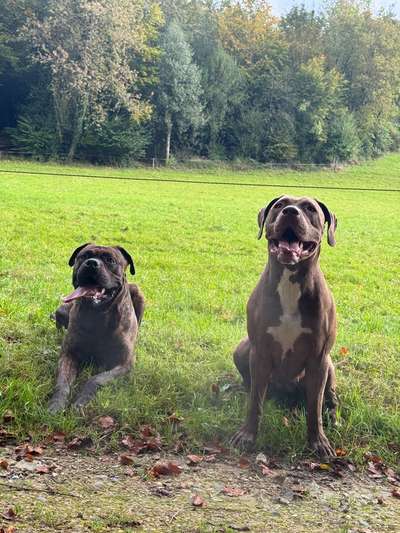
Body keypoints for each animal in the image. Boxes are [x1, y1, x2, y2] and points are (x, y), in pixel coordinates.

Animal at [48, 242, 145, 412]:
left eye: (110, 260)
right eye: (84, 256)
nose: (92, 263)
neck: (97, 315)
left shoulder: (124, 363)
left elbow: (96, 379)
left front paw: (80, 402)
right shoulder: (68, 355)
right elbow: (62, 382)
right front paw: (56, 404)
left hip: (138, 292)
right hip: (61, 310)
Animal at [231, 196, 338, 458]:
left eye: (310, 208)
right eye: (280, 205)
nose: (290, 212)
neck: (290, 281)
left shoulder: (319, 358)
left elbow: (314, 408)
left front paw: (318, 442)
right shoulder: (259, 351)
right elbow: (255, 402)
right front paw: (247, 434)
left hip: (329, 364)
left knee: (328, 397)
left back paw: (332, 414)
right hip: (242, 348)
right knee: (253, 386)